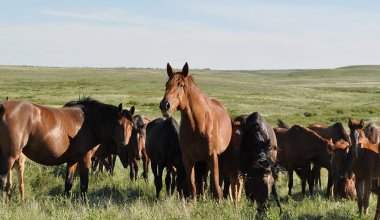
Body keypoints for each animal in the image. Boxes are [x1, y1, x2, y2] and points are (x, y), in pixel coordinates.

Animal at [0, 98, 135, 198]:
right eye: (119, 124)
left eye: (132, 125)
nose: (124, 145)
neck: (89, 121)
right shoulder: (85, 159)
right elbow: (84, 186)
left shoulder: (72, 161)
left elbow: (68, 185)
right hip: (9, 157)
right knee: (2, 182)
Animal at [158, 62, 232, 201]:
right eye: (166, 84)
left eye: (181, 85)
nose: (165, 105)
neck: (198, 126)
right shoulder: (188, 159)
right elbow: (192, 185)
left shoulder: (212, 157)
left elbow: (215, 184)